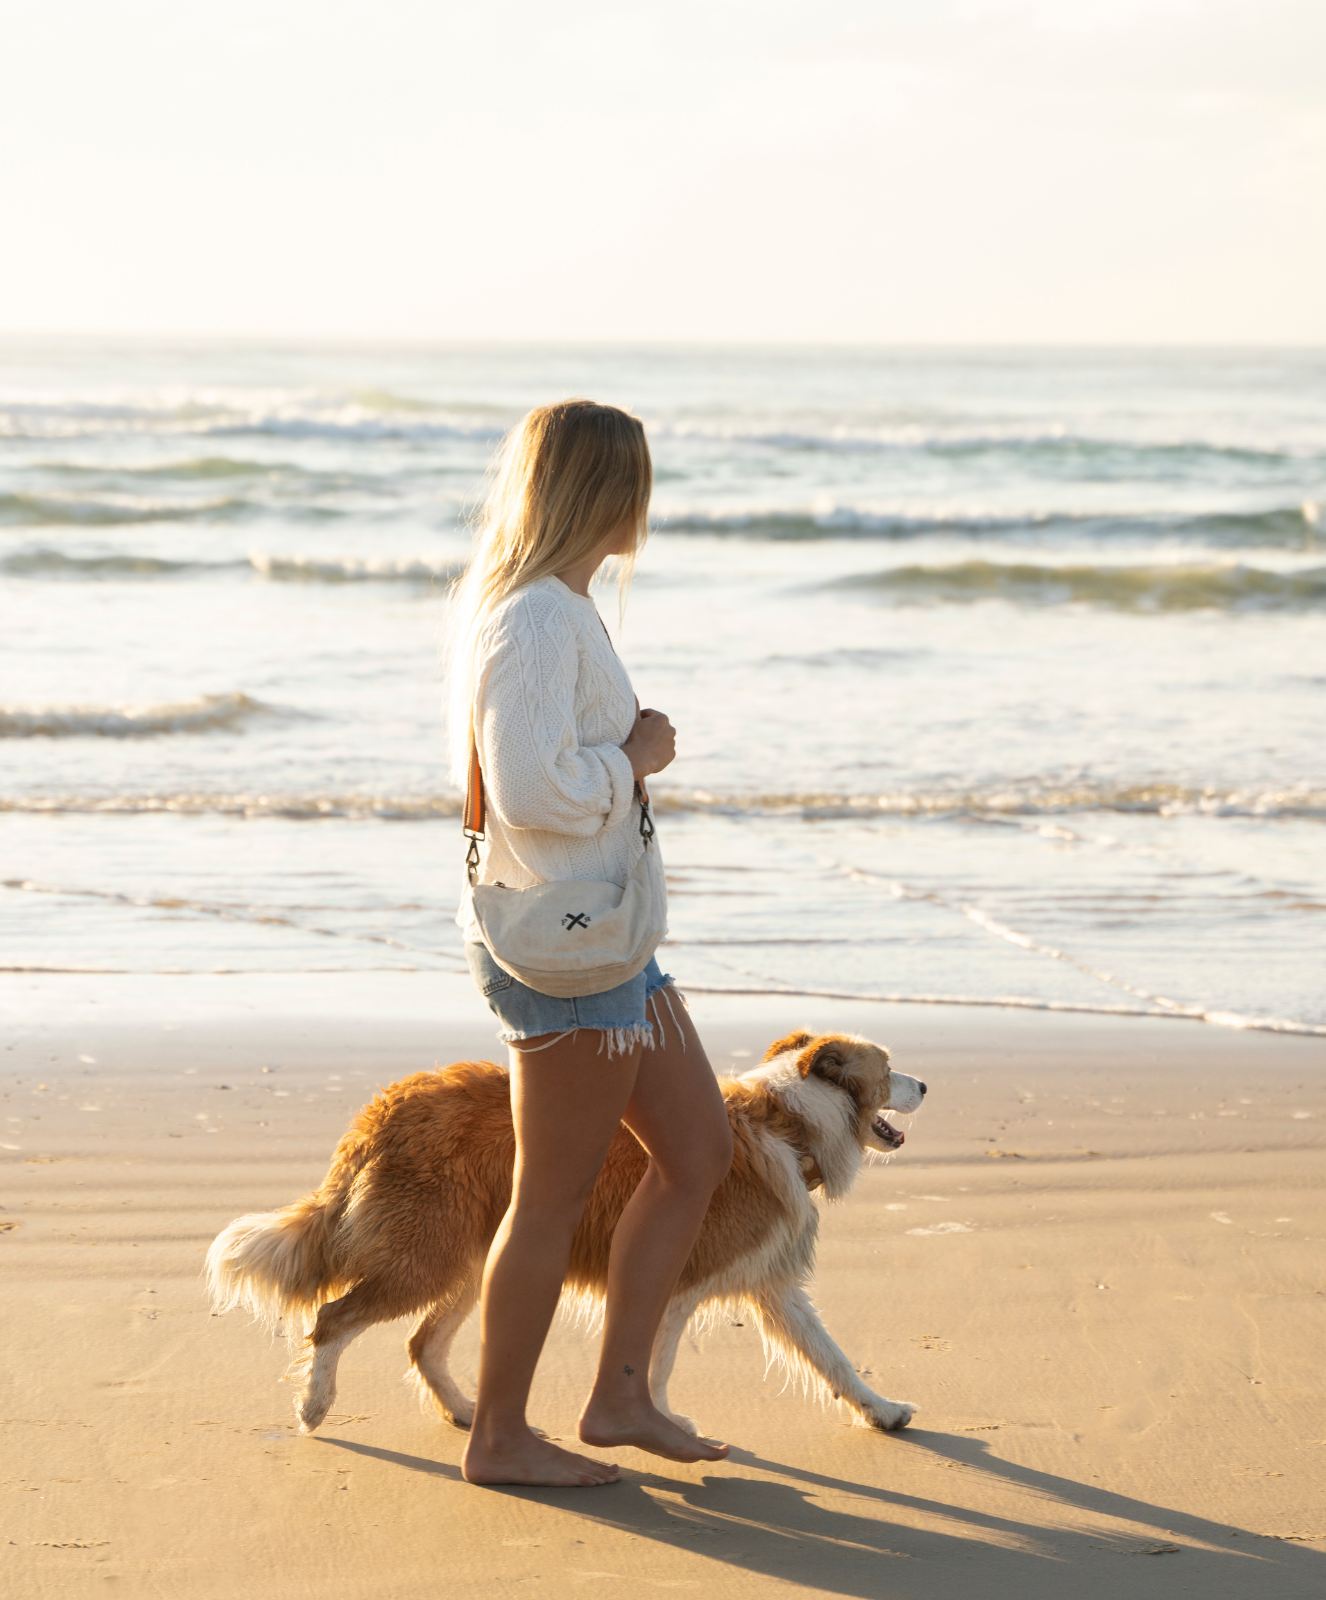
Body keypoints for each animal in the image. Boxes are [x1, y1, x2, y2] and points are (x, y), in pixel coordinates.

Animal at [206, 1030, 927, 1446]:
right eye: (890, 1067)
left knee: (422, 1343)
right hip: (423, 1258)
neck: (790, 1123)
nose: (925, 1082)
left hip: (474, 1261)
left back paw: (465, 1412)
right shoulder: (678, 1278)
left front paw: (883, 1411)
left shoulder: (773, 1286)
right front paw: (662, 1428)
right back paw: (314, 1407)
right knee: (333, 1318)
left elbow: (834, 1359)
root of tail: (384, 1106)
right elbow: (657, 1363)